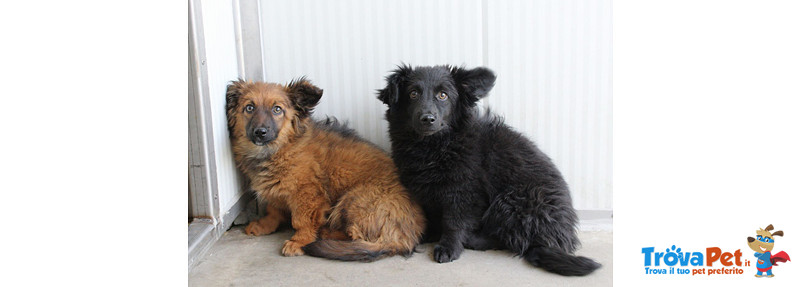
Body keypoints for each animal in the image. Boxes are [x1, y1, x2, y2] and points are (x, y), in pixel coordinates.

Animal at [225, 78, 424, 260]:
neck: (280, 149)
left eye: (277, 109)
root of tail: (402, 238)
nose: (260, 132)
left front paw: (299, 241)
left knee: (354, 235)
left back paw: (325, 233)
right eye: (249, 108)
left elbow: (302, 220)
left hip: (353, 199)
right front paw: (263, 225)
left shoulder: (308, 195)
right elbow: (273, 210)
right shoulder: (276, 190)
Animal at [376, 65, 600, 276]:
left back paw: (473, 240)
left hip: (510, 201)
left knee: (515, 241)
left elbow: (453, 223)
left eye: (443, 95)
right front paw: (427, 233)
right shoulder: (425, 191)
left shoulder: (464, 193)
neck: (435, 146)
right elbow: (430, 215)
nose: (427, 118)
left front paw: (448, 247)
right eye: (413, 93)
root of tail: (557, 238)